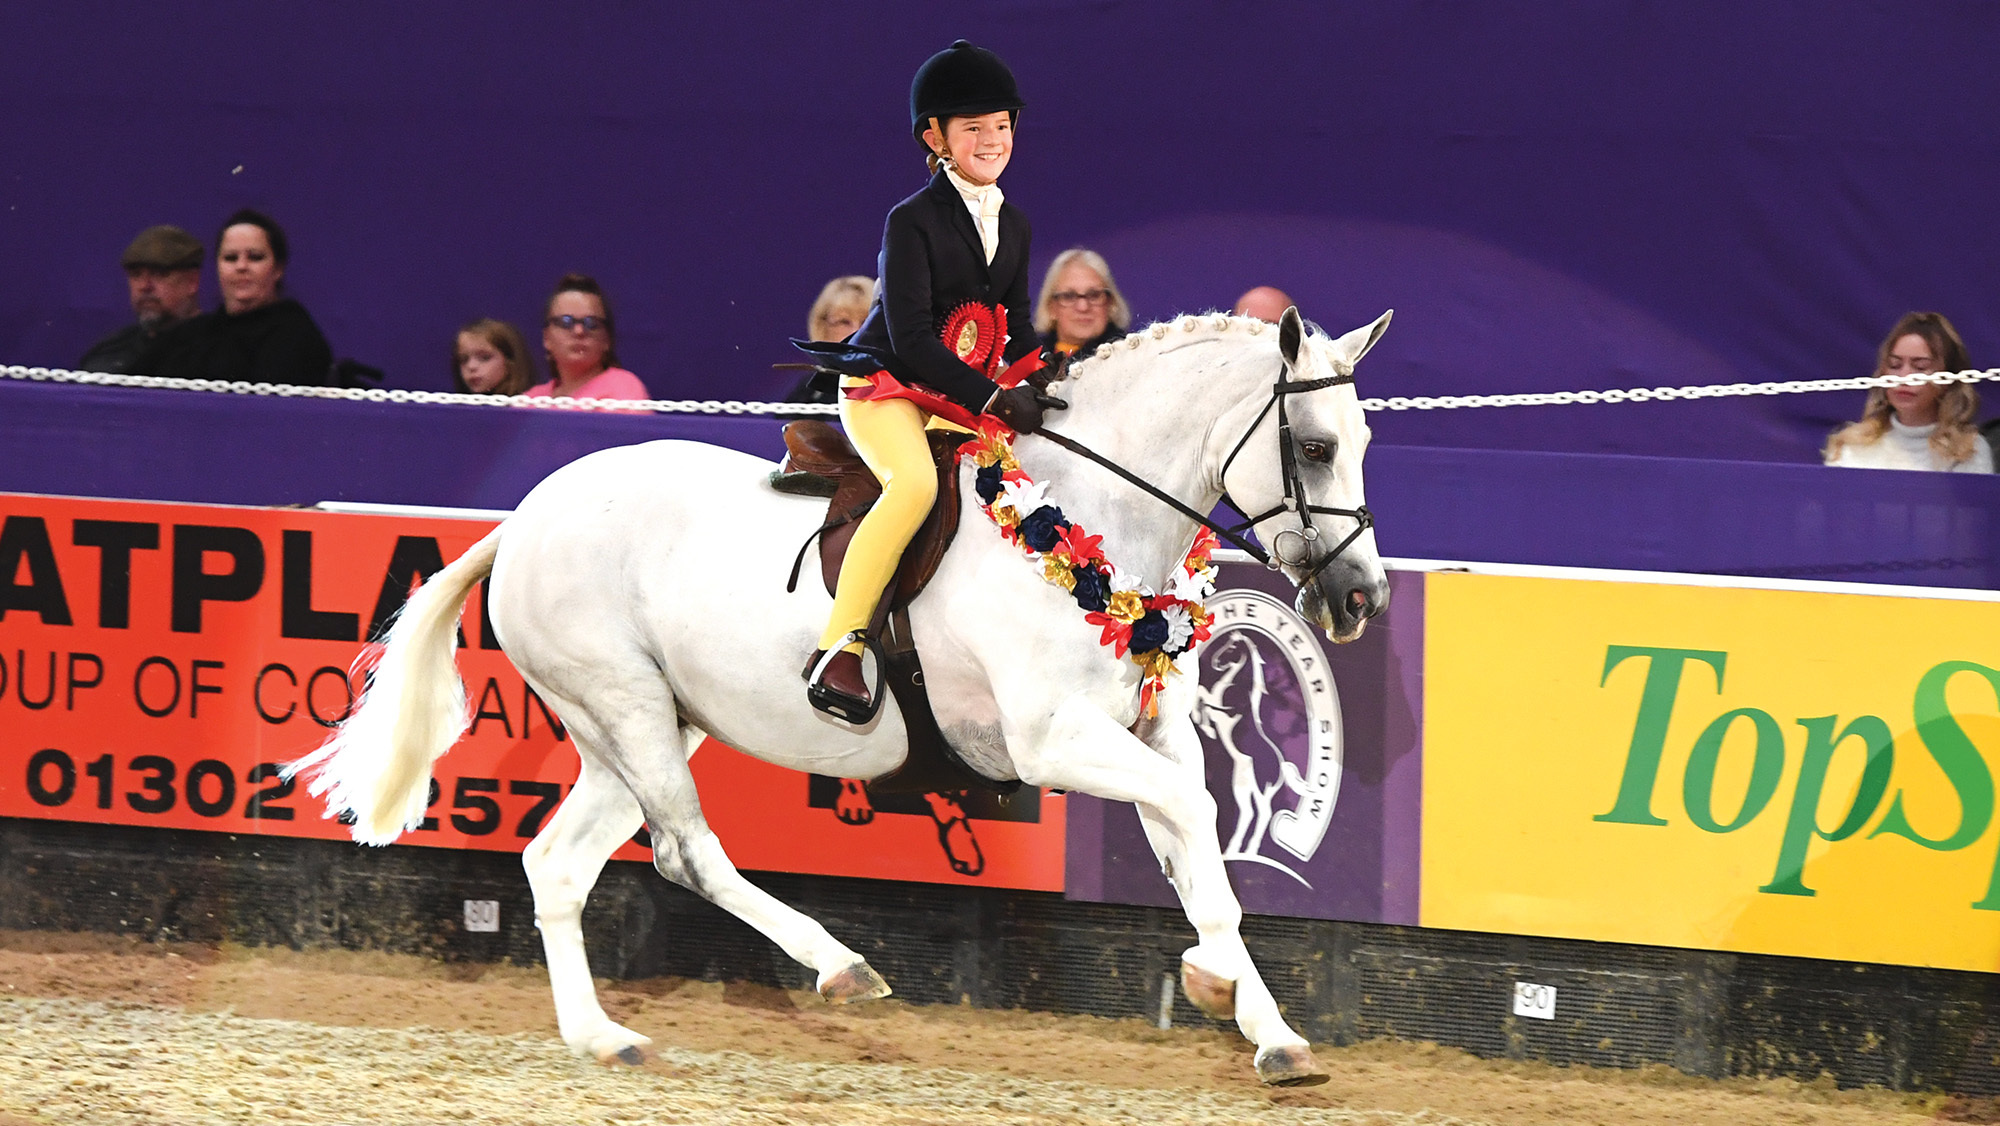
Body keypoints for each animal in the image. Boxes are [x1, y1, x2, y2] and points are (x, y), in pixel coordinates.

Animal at [290, 306, 1392, 1086]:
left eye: (1365, 445)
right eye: (1316, 447)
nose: (1359, 599)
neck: (1090, 524)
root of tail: (521, 521)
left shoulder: (1152, 732)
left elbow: (1196, 849)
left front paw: (1263, 1024)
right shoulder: (1052, 738)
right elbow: (1198, 820)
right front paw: (1219, 984)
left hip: (633, 726)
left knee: (556, 865)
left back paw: (604, 1037)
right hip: (626, 706)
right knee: (689, 853)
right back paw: (837, 966)